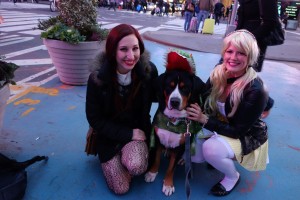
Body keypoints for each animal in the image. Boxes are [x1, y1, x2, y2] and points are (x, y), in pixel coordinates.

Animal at [145, 49, 206, 196]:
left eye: (185, 88)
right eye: (169, 86)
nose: (174, 102)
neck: (173, 121)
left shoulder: (180, 145)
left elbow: (171, 168)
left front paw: (168, 184)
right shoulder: (158, 138)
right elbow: (156, 159)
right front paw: (152, 173)